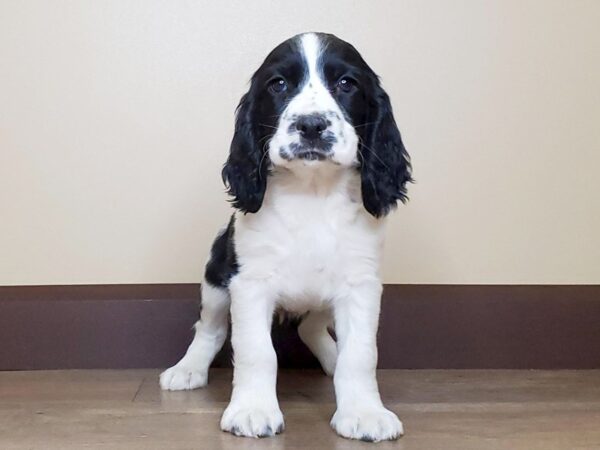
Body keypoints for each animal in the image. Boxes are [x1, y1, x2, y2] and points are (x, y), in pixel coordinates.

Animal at [159, 32, 412, 442]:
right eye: (278, 84)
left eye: (347, 84)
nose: (311, 125)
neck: (311, 194)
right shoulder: (249, 284)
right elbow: (256, 351)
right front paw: (252, 410)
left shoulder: (360, 285)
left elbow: (360, 355)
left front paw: (364, 412)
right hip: (216, 277)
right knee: (210, 327)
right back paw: (188, 369)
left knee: (310, 327)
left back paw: (331, 358)